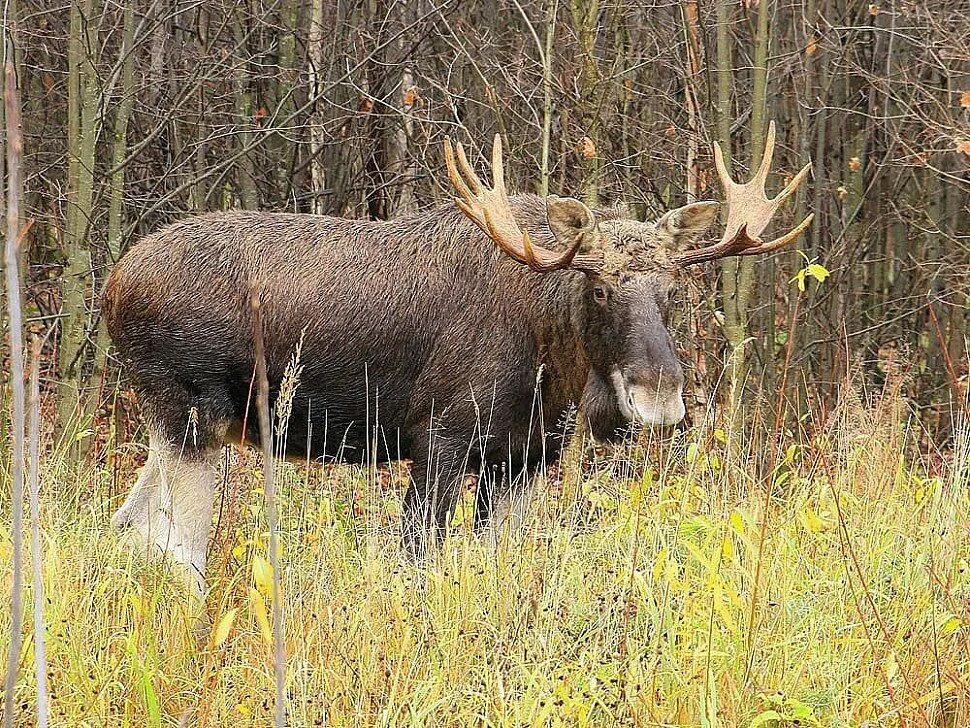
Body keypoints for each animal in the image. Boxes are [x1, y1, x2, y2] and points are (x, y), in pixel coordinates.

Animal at [104, 123, 808, 592]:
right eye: (600, 288)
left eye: (671, 291)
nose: (659, 395)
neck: (550, 366)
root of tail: (112, 287)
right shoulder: (438, 442)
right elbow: (418, 562)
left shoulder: (524, 459)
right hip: (193, 414)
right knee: (174, 548)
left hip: (185, 425)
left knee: (127, 527)